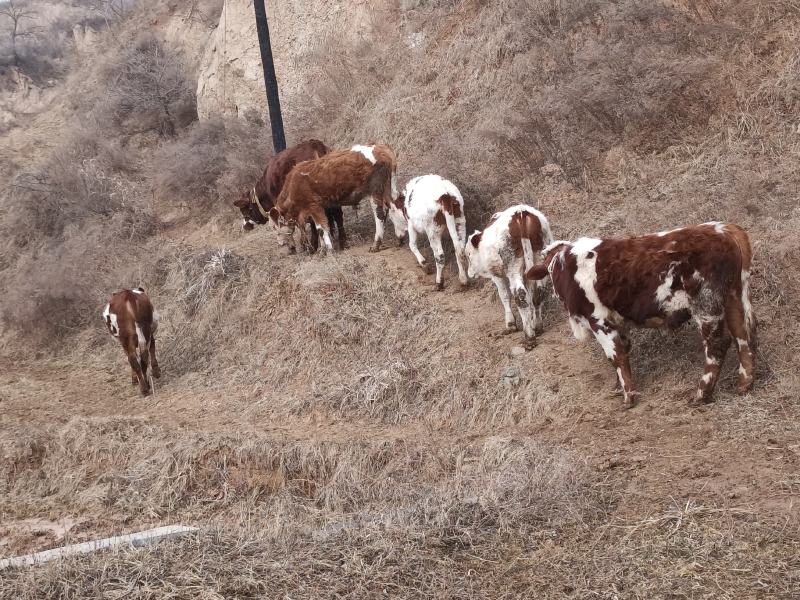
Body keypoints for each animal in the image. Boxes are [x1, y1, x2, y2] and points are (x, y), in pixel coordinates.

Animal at [270, 144, 398, 252]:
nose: (280, 243)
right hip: (389, 188)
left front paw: (329, 251)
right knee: (394, 207)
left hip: (375, 190)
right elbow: (320, 228)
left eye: (275, 227)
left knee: (379, 215)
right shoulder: (319, 208)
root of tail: (381, 148)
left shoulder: (314, 206)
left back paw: (376, 244)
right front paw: (322, 251)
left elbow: (321, 229)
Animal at [466, 205, 552, 346]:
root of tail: (520, 212)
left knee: (520, 294)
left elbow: (504, 295)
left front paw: (510, 325)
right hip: (539, 260)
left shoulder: (497, 275)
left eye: (468, 254)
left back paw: (529, 337)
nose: (469, 274)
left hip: (513, 267)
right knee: (538, 293)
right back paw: (537, 327)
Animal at [524, 221, 756, 408]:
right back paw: (744, 384)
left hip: (706, 304)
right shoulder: (617, 321)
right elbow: (623, 351)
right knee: (743, 335)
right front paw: (618, 387)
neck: (564, 264)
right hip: (734, 298)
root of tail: (724, 229)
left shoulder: (598, 319)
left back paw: (701, 395)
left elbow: (615, 355)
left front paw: (628, 397)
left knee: (717, 345)